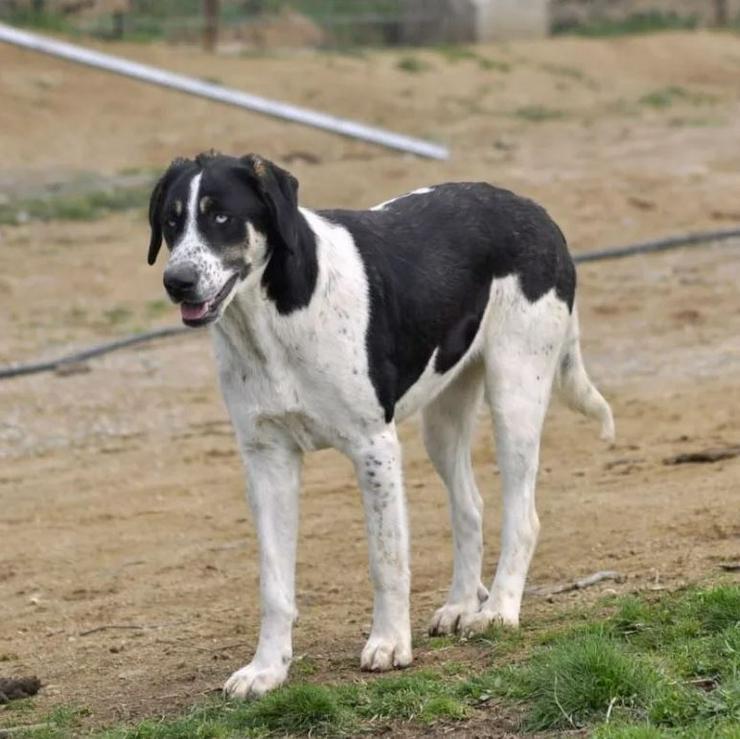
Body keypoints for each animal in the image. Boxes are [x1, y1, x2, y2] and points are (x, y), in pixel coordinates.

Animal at [146, 152, 612, 700]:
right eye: (171, 221)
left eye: (221, 216)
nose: (175, 281)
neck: (275, 316)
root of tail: (534, 210)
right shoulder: (266, 459)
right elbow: (273, 583)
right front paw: (267, 669)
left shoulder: (374, 448)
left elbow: (385, 560)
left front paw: (389, 644)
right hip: (444, 418)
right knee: (470, 507)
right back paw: (461, 605)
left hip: (515, 393)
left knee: (524, 515)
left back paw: (498, 610)